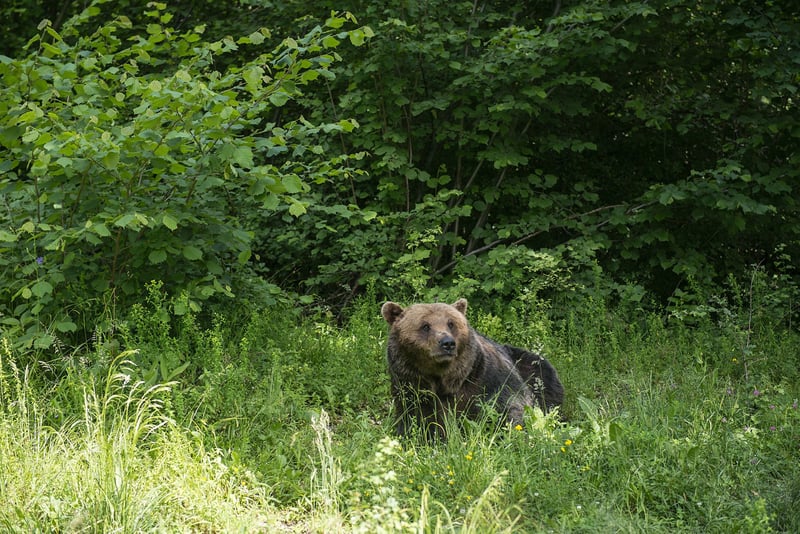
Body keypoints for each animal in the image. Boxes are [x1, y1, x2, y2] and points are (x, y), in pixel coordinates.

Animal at [382, 298, 564, 440]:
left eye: (451, 323)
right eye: (425, 326)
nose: (447, 343)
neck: (445, 380)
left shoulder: (487, 379)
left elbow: (511, 405)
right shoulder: (410, 385)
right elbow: (415, 418)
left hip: (533, 367)